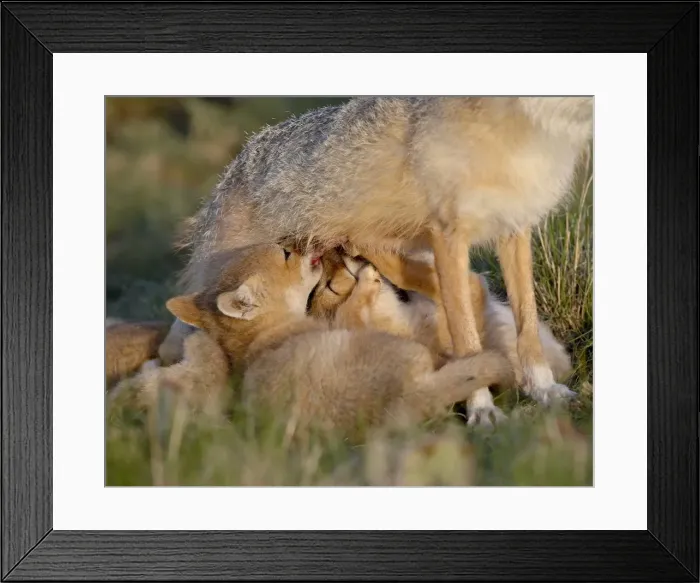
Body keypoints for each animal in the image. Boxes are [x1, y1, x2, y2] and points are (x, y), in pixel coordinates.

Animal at [160, 96, 592, 423]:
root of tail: (232, 170)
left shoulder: (515, 226)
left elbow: (527, 323)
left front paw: (543, 388)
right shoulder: (448, 236)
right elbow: (467, 338)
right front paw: (481, 407)